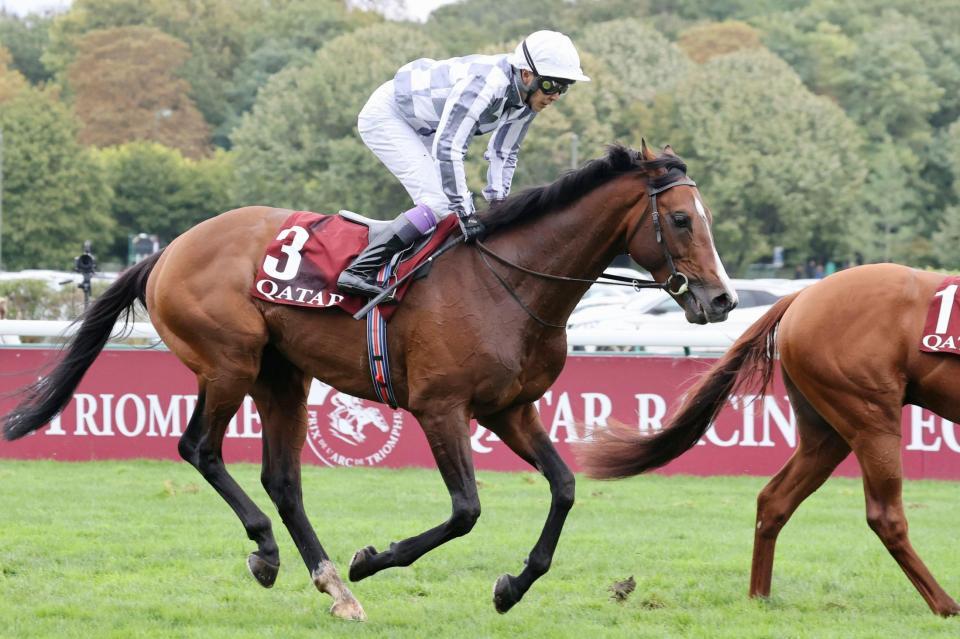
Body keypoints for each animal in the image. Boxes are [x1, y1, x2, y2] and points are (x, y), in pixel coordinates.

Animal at [2, 142, 736, 620]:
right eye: (679, 219)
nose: (721, 299)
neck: (509, 280)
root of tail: (168, 250)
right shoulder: (441, 407)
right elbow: (465, 511)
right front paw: (373, 558)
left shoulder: (511, 408)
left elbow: (564, 486)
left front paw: (512, 585)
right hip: (229, 361)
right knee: (200, 449)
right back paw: (272, 554)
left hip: (282, 376)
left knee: (282, 479)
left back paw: (332, 585)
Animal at [578, 262, 960, 616]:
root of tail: (802, 295)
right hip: (869, 418)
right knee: (885, 515)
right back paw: (945, 605)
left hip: (828, 431)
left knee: (775, 499)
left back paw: (759, 596)